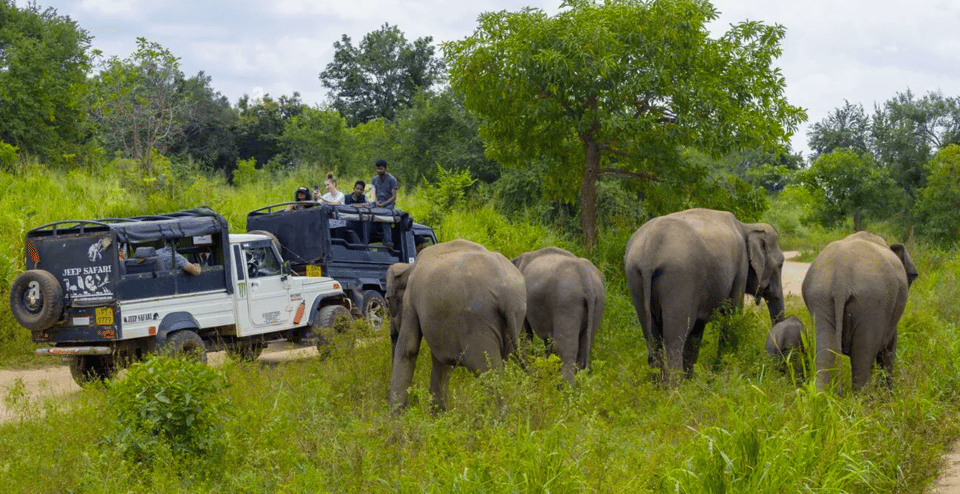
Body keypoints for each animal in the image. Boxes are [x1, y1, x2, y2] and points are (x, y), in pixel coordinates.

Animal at [388, 237, 528, 412]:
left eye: (387, 301)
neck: (408, 267)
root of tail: (507, 296)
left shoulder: (411, 300)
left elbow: (409, 348)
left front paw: (397, 415)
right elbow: (443, 363)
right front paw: (439, 414)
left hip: (477, 323)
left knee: (487, 372)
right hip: (516, 315)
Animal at [512, 247, 604, 386]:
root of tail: (585, 277)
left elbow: (525, 334)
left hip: (567, 302)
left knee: (566, 347)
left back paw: (565, 388)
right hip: (597, 303)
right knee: (584, 345)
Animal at [624, 207, 788, 382]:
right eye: (780, 264)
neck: (746, 226)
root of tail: (649, 250)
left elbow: (697, 330)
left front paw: (692, 380)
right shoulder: (741, 267)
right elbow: (732, 317)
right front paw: (721, 374)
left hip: (635, 278)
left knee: (653, 339)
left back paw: (659, 386)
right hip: (679, 279)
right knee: (674, 339)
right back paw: (675, 387)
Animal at [800, 230, 920, 392]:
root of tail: (840, 281)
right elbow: (889, 347)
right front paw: (887, 395)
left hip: (819, 296)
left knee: (825, 352)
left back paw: (820, 395)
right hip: (872, 301)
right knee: (863, 358)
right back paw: (861, 397)